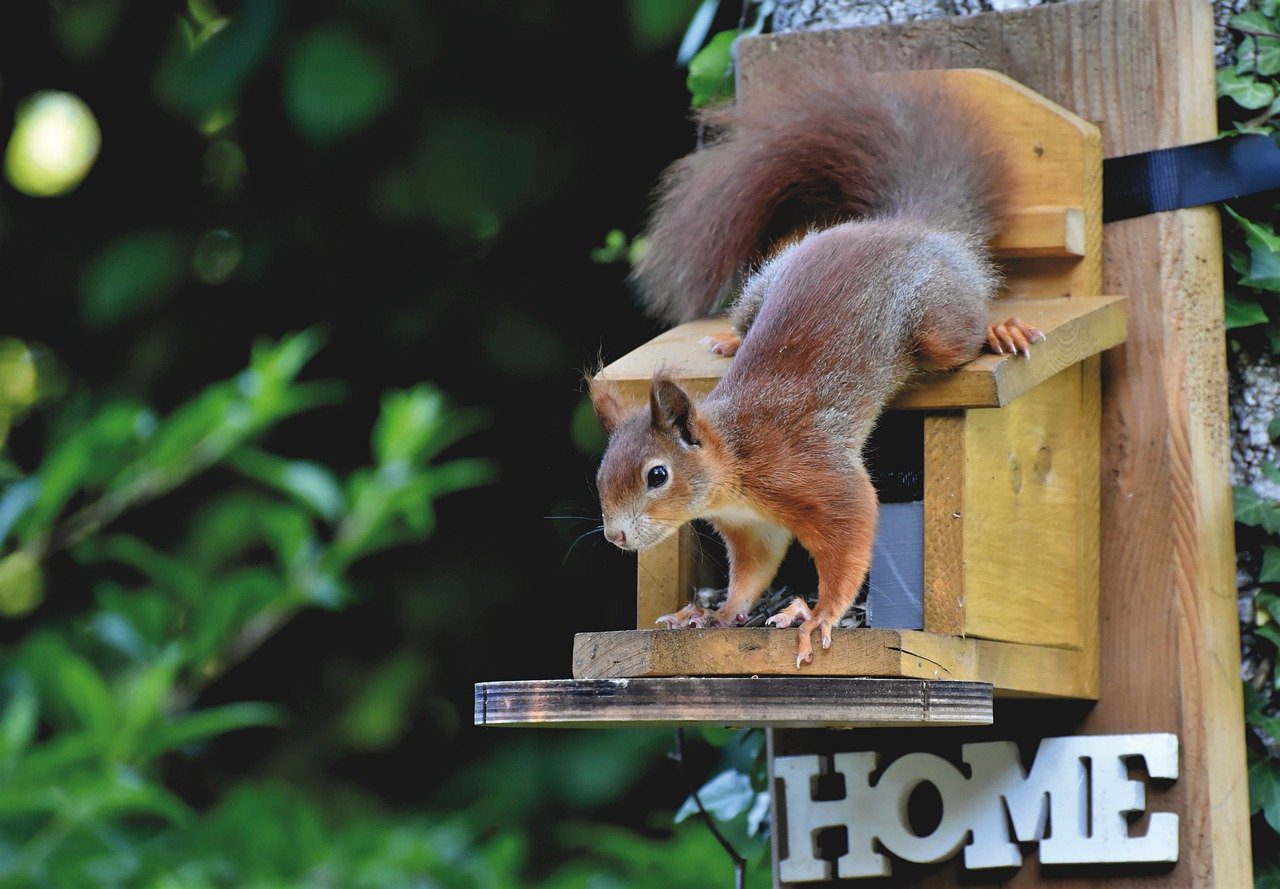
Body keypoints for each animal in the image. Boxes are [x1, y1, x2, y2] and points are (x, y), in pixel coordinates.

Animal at [586, 67, 1039, 665]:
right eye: (600, 476)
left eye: (656, 475)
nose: (614, 537)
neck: (734, 464)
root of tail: (899, 224)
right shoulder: (753, 527)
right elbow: (751, 574)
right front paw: (715, 616)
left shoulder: (809, 471)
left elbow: (852, 528)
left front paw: (820, 615)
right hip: (764, 281)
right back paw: (728, 341)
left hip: (936, 320)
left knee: (961, 330)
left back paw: (999, 330)